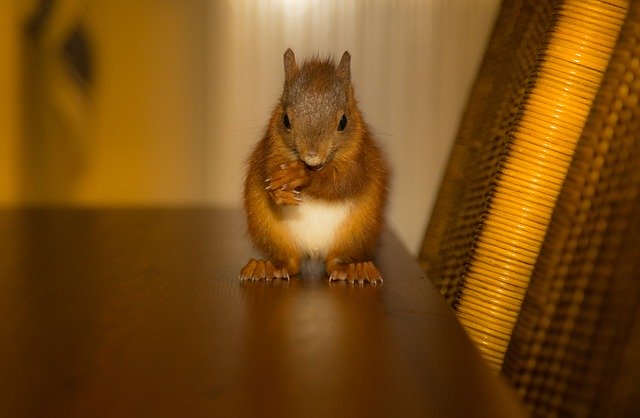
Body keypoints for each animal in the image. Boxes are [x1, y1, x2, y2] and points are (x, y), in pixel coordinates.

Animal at [240, 49, 390, 284]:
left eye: (344, 121)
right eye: (285, 120)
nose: (312, 157)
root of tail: (315, 252)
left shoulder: (362, 157)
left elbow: (343, 182)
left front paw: (301, 175)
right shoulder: (270, 149)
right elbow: (267, 173)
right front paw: (278, 191)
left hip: (359, 230)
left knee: (335, 262)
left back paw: (355, 269)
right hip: (268, 227)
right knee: (290, 262)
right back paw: (266, 267)